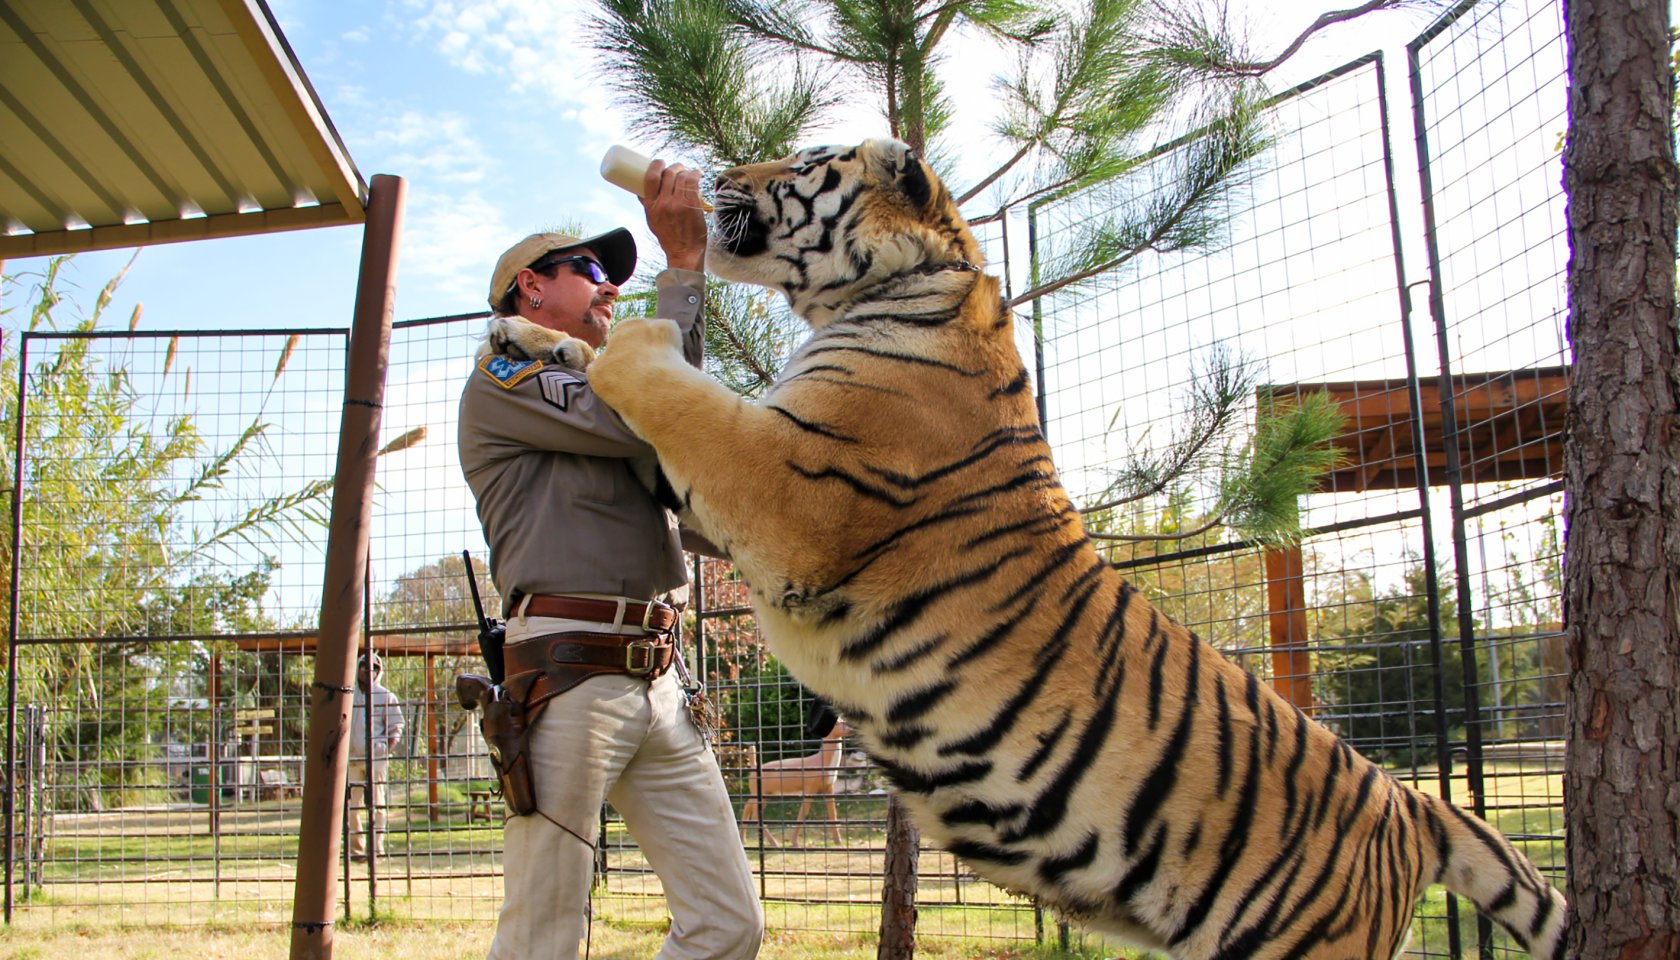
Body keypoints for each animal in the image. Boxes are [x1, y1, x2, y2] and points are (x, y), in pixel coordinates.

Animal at [577, 137, 1568, 959]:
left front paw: (617, 335)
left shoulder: (790, 487)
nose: (717, 173)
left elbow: (676, 392)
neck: (908, 283)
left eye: (804, 160)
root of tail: (1409, 802)